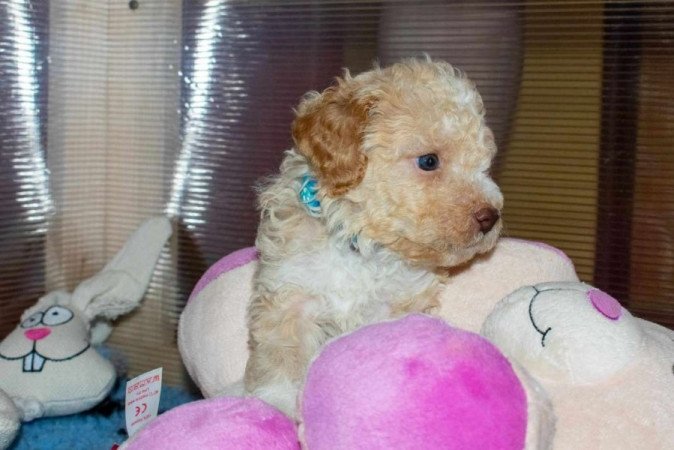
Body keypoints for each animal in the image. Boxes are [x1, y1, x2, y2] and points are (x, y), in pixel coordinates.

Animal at [244, 58, 502, 416]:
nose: (491, 217)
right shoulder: (289, 295)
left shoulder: (395, 308)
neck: (361, 247)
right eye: (429, 161)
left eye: (483, 165)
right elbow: (282, 357)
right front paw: (276, 407)